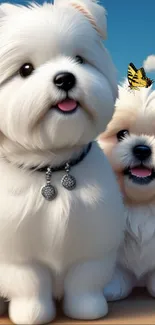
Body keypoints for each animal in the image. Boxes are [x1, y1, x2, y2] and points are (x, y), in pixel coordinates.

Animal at [0, 1, 123, 322]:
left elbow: (84, 279)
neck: (52, 166)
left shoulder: (93, 241)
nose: (65, 78)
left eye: (79, 59)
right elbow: (29, 282)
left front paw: (87, 309)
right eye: (25, 69)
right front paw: (32, 314)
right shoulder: (16, 250)